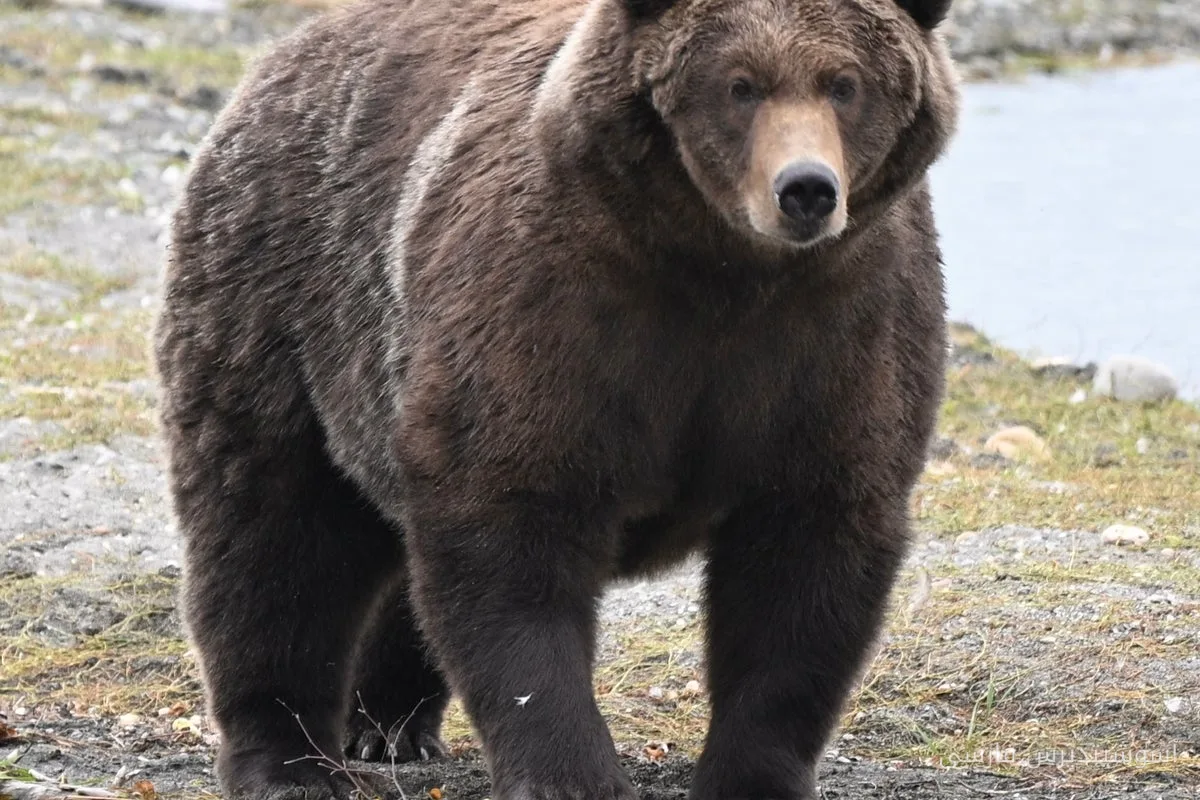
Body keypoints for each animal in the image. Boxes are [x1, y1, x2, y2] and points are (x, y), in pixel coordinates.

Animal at [153, 0, 959, 797]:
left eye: (844, 83)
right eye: (740, 84)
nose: (806, 189)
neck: (723, 271)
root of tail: (287, 50)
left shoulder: (839, 334)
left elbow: (805, 564)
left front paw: (752, 773)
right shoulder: (554, 309)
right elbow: (512, 533)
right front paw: (570, 773)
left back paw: (389, 723)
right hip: (287, 306)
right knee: (273, 534)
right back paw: (289, 761)